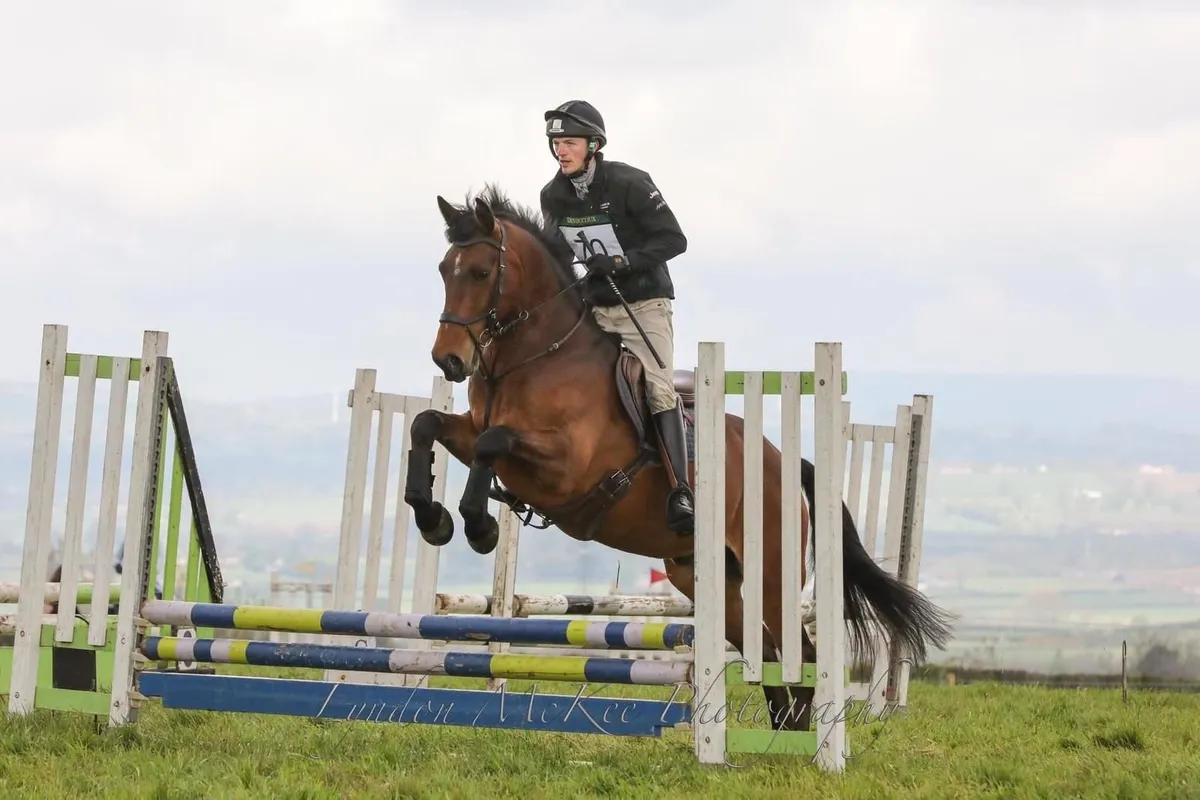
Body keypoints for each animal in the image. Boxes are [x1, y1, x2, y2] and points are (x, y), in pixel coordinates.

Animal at [401, 184, 953, 732]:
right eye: (444, 269)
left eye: (481, 272)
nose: (448, 360)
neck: (534, 357)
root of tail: (781, 459)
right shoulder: (477, 433)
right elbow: (427, 424)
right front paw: (433, 519)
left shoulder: (566, 469)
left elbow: (492, 443)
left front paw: (480, 527)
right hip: (705, 575)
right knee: (766, 647)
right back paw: (783, 730)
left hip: (771, 571)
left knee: (802, 652)